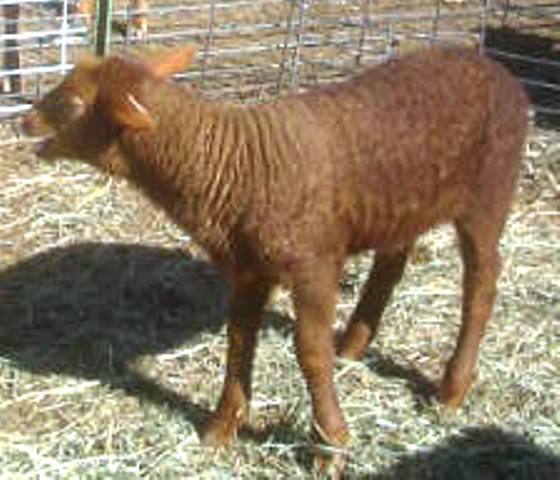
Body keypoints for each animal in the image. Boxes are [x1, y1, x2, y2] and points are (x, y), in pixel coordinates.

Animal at [20, 44, 528, 476]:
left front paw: (330, 445)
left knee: (482, 280)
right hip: (404, 202)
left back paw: (452, 388)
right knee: (392, 260)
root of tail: (499, 70)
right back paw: (353, 345)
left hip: (489, 192)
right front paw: (222, 427)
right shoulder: (248, 269)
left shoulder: (314, 264)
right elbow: (239, 339)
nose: (24, 123)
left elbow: (309, 353)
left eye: (73, 105)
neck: (233, 163)